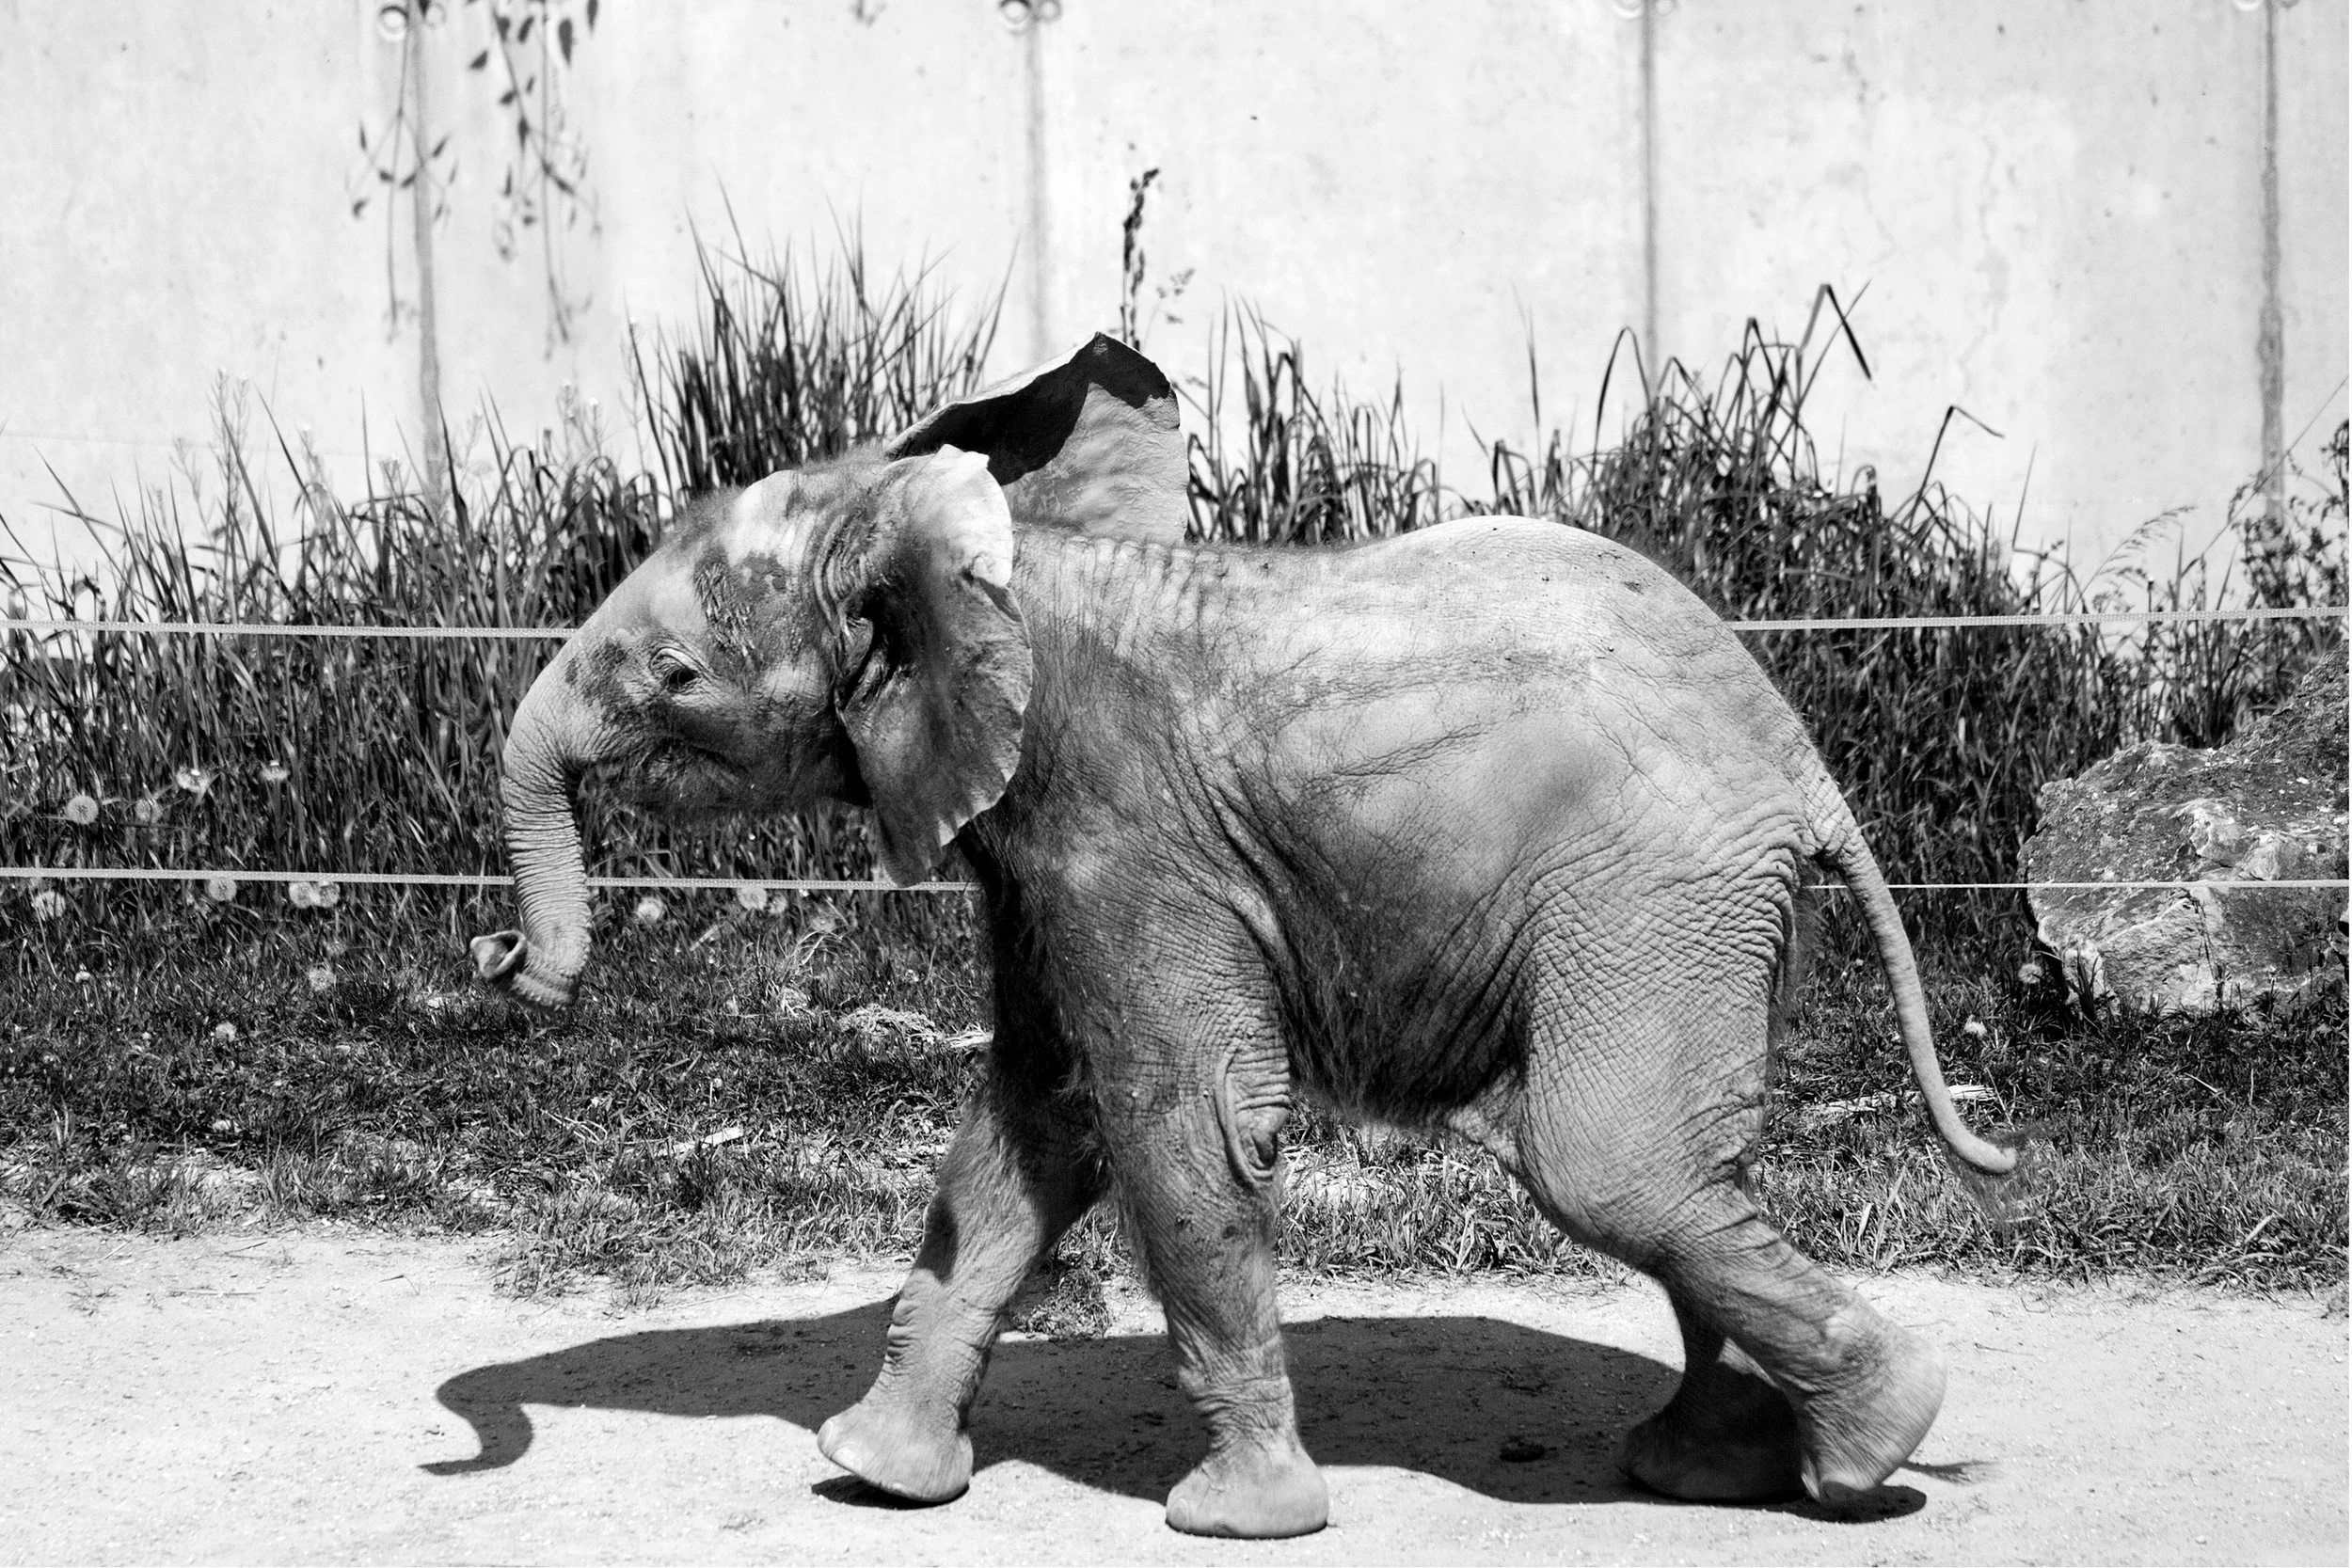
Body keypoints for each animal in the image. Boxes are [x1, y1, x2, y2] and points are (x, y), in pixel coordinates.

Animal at [470, 334, 2016, 1539]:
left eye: (674, 676)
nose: (497, 960)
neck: (988, 552)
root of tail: (1801, 756)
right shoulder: (1045, 856)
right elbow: (1034, 1122)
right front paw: (874, 1475)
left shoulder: (1123, 830)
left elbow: (1182, 1112)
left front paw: (1232, 1519)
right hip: (1692, 906)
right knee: (1692, 1157)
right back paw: (1715, 1467)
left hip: (1653, 886)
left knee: (1608, 1160)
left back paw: (1872, 1447)